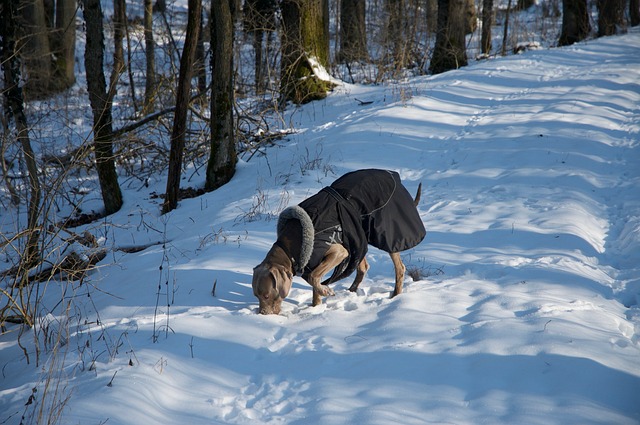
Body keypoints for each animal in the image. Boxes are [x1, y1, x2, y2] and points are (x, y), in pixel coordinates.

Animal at [250, 167, 424, 314]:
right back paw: (352, 291)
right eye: (256, 295)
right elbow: (314, 280)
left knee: (399, 267)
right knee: (363, 266)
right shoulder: (314, 261)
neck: (289, 248)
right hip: (357, 237)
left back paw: (396, 295)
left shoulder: (338, 252)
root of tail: (395, 177)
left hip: (386, 234)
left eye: (266, 295)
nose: (262, 314)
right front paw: (316, 307)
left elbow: (313, 277)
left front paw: (325, 291)